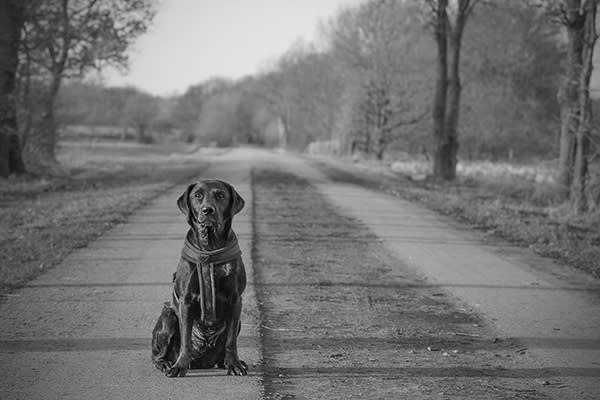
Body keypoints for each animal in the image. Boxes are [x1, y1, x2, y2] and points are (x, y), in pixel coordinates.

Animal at [154, 180, 250, 376]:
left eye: (220, 195)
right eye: (197, 195)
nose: (207, 210)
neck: (210, 249)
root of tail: (203, 362)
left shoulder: (236, 300)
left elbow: (231, 341)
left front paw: (234, 364)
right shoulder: (186, 301)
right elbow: (185, 340)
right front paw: (179, 367)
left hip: (238, 323)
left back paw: (226, 362)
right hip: (168, 316)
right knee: (158, 355)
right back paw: (167, 363)